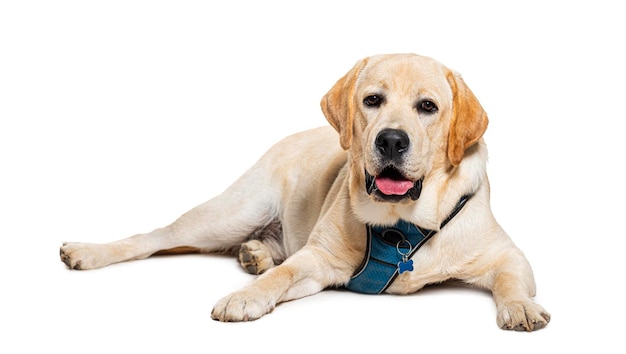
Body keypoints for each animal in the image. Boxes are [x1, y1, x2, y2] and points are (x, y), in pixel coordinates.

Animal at [57, 54, 544, 330]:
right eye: (372, 100)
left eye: (428, 107)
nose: (391, 141)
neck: (401, 229)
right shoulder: (319, 261)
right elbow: (283, 275)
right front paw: (244, 297)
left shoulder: (506, 255)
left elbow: (511, 280)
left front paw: (520, 308)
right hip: (226, 215)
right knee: (155, 237)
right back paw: (87, 251)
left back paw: (255, 254)